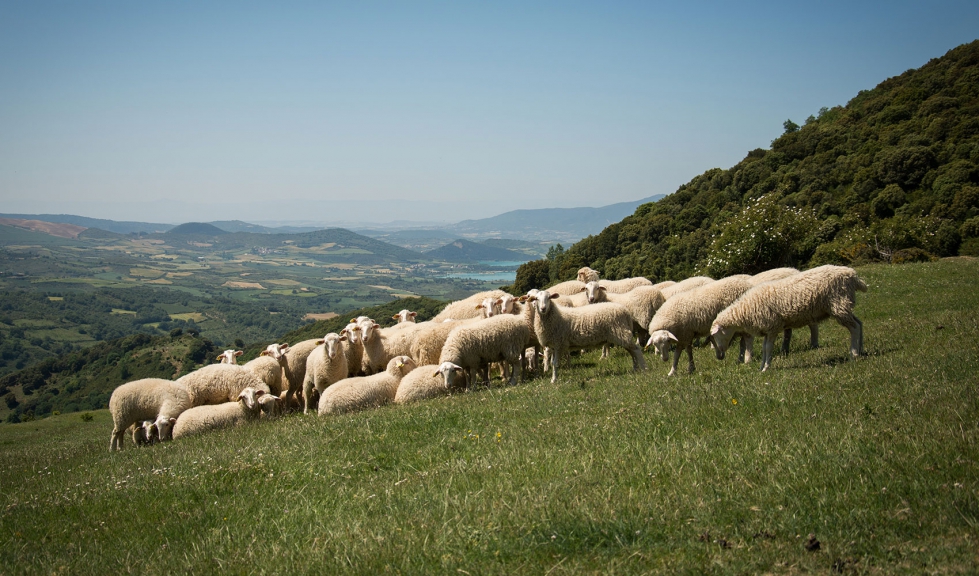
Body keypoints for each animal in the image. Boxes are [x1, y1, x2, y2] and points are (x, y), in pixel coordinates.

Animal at [708, 264, 868, 372]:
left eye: (716, 335)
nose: (720, 354)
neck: (745, 310)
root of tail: (852, 275)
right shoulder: (767, 329)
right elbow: (765, 348)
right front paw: (762, 367)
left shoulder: (772, 326)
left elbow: (768, 348)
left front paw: (766, 368)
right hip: (843, 305)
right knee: (859, 324)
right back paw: (860, 350)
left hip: (838, 304)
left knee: (854, 327)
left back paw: (853, 354)